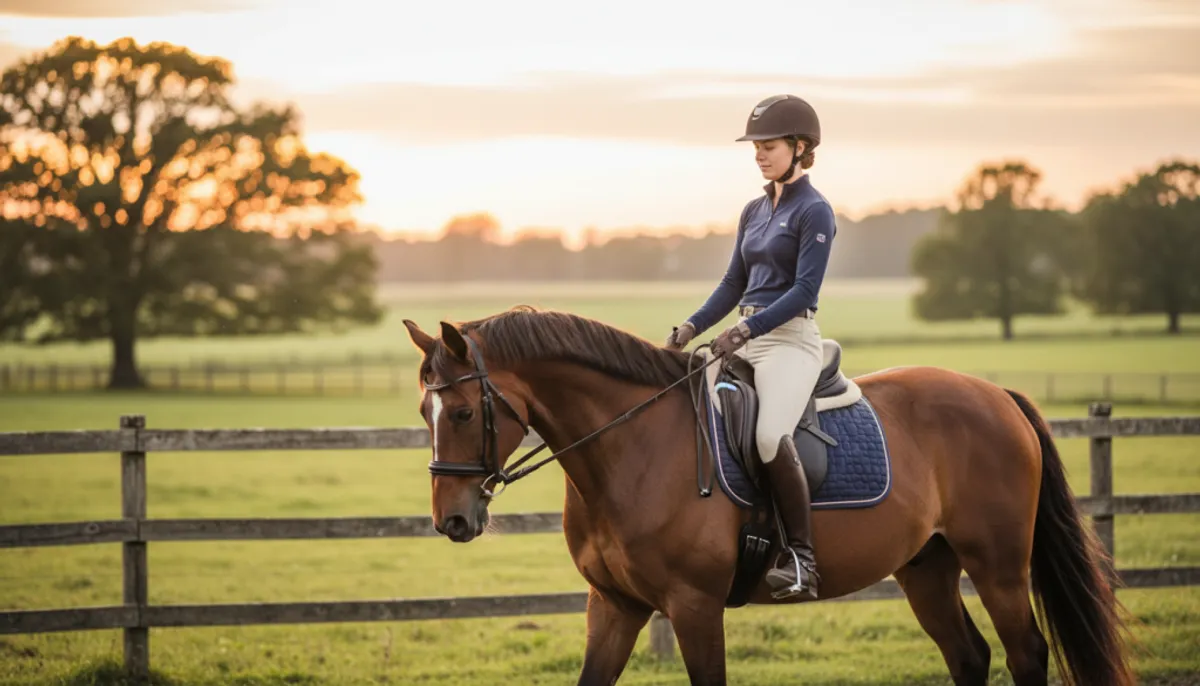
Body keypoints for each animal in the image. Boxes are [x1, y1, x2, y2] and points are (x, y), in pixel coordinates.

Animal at [401, 307, 1132, 686]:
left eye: (462, 412)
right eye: (422, 411)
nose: (454, 521)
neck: (629, 448)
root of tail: (994, 395)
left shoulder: (694, 607)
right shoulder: (613, 605)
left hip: (998, 565)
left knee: (1025, 654)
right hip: (927, 566)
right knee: (969, 656)